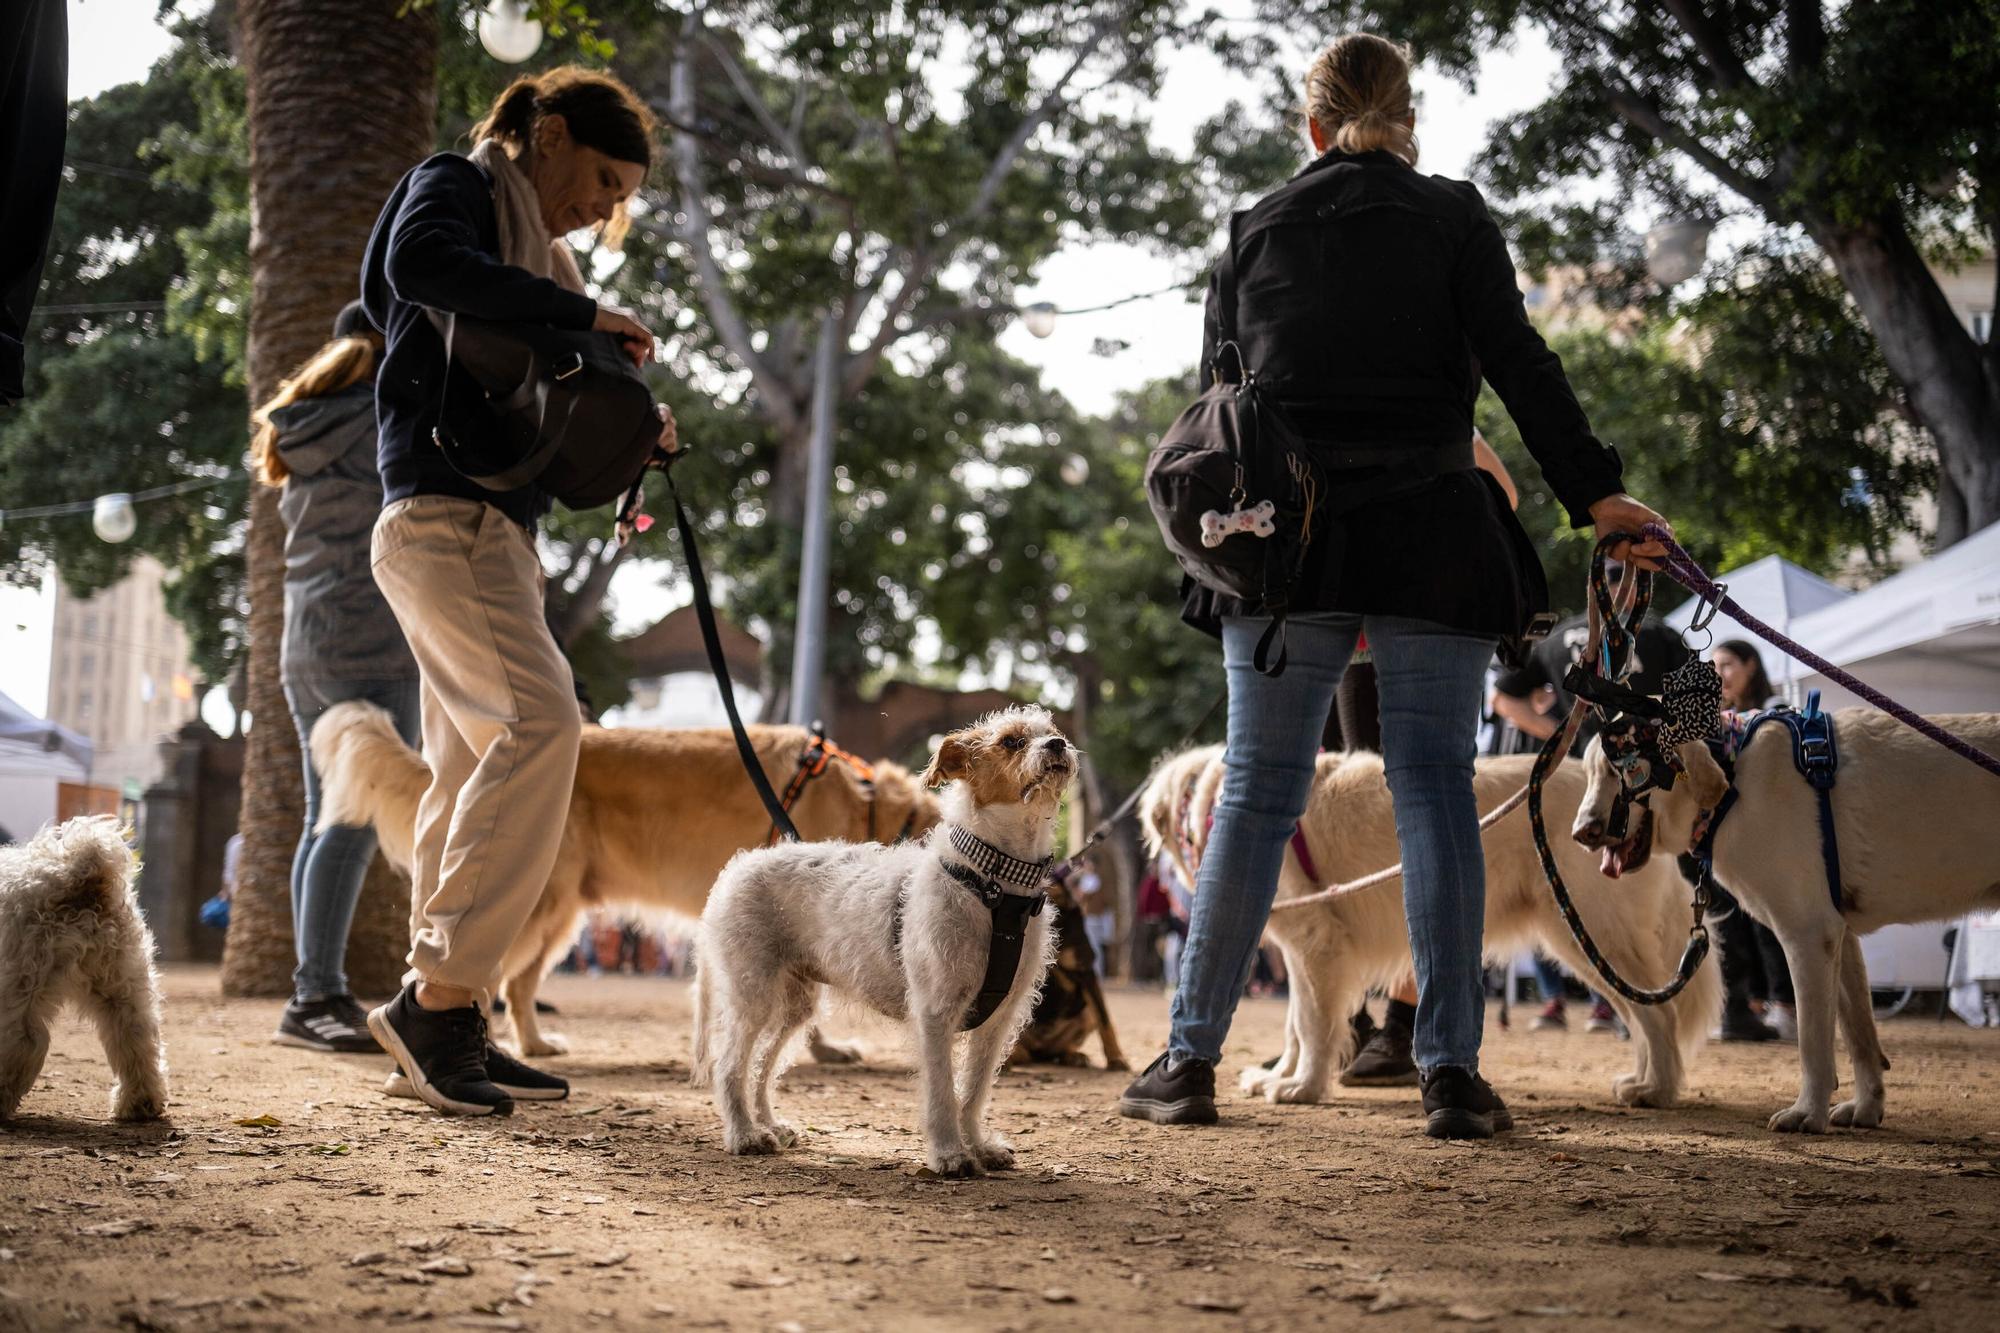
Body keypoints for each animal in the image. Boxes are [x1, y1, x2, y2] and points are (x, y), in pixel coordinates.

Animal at [310, 700, 936, 1056]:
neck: (870, 807)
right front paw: (826, 1049)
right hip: (540, 902)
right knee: (481, 974)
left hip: (562, 913)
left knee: (516, 985)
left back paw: (535, 1046)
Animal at [704, 704, 1080, 1176]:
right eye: (1011, 741)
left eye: (1052, 730)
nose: (1058, 745)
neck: (995, 886)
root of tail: (741, 865)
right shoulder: (935, 1012)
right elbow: (942, 1091)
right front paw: (950, 1154)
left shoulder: (997, 1021)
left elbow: (974, 1091)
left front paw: (978, 1145)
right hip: (753, 994)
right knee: (730, 1066)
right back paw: (744, 1134)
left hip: (794, 1005)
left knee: (761, 1065)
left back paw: (768, 1125)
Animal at [1144, 740, 1720, 1104]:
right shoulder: (1301, 952)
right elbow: (1294, 1024)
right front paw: (1279, 1075)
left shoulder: (1316, 942)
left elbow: (1309, 1024)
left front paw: (1300, 1087)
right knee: (1644, 1011)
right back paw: (1643, 1081)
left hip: (1589, 930)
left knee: (1657, 1014)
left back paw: (1657, 1090)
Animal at [1576, 704, 2000, 1128]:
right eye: (1591, 773)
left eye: (1618, 770)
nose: (1581, 833)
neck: (1733, 775)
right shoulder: (1840, 937)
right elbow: (1859, 1035)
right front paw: (1866, 1107)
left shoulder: (1808, 933)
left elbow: (1812, 1041)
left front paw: (1807, 1112)